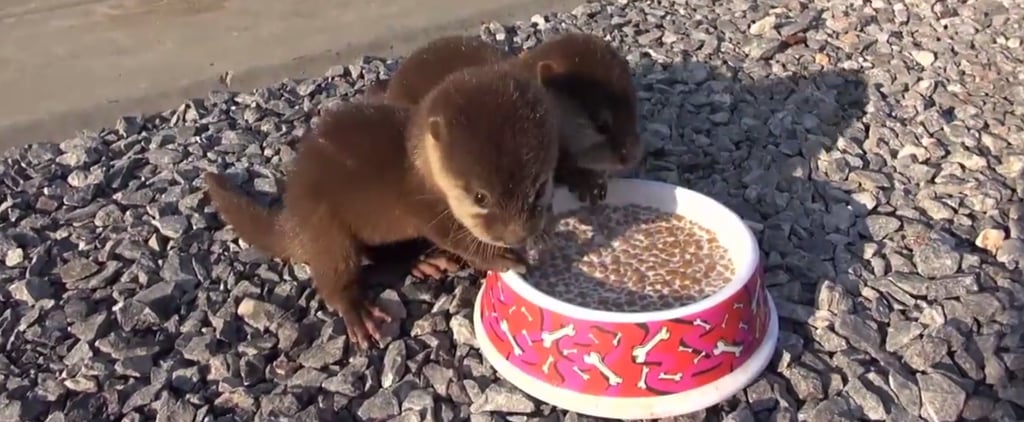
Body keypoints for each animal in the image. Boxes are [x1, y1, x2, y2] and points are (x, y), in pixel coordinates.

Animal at [204, 65, 561, 349]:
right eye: (480, 197)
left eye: (540, 187)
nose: (516, 235)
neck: (419, 167)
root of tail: (293, 213)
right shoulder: (423, 206)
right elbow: (455, 237)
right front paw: (500, 257)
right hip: (324, 224)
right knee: (334, 273)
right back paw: (358, 312)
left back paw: (422, 261)